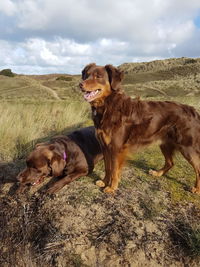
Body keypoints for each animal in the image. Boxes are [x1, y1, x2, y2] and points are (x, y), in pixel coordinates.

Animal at [79, 63, 200, 195]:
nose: (80, 84)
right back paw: (157, 173)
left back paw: (196, 189)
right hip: (165, 143)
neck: (108, 105)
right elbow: (108, 167)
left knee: (197, 168)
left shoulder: (116, 148)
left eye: (98, 77)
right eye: (86, 75)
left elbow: (114, 170)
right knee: (170, 162)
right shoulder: (104, 146)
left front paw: (112, 187)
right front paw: (105, 181)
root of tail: (193, 110)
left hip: (187, 147)